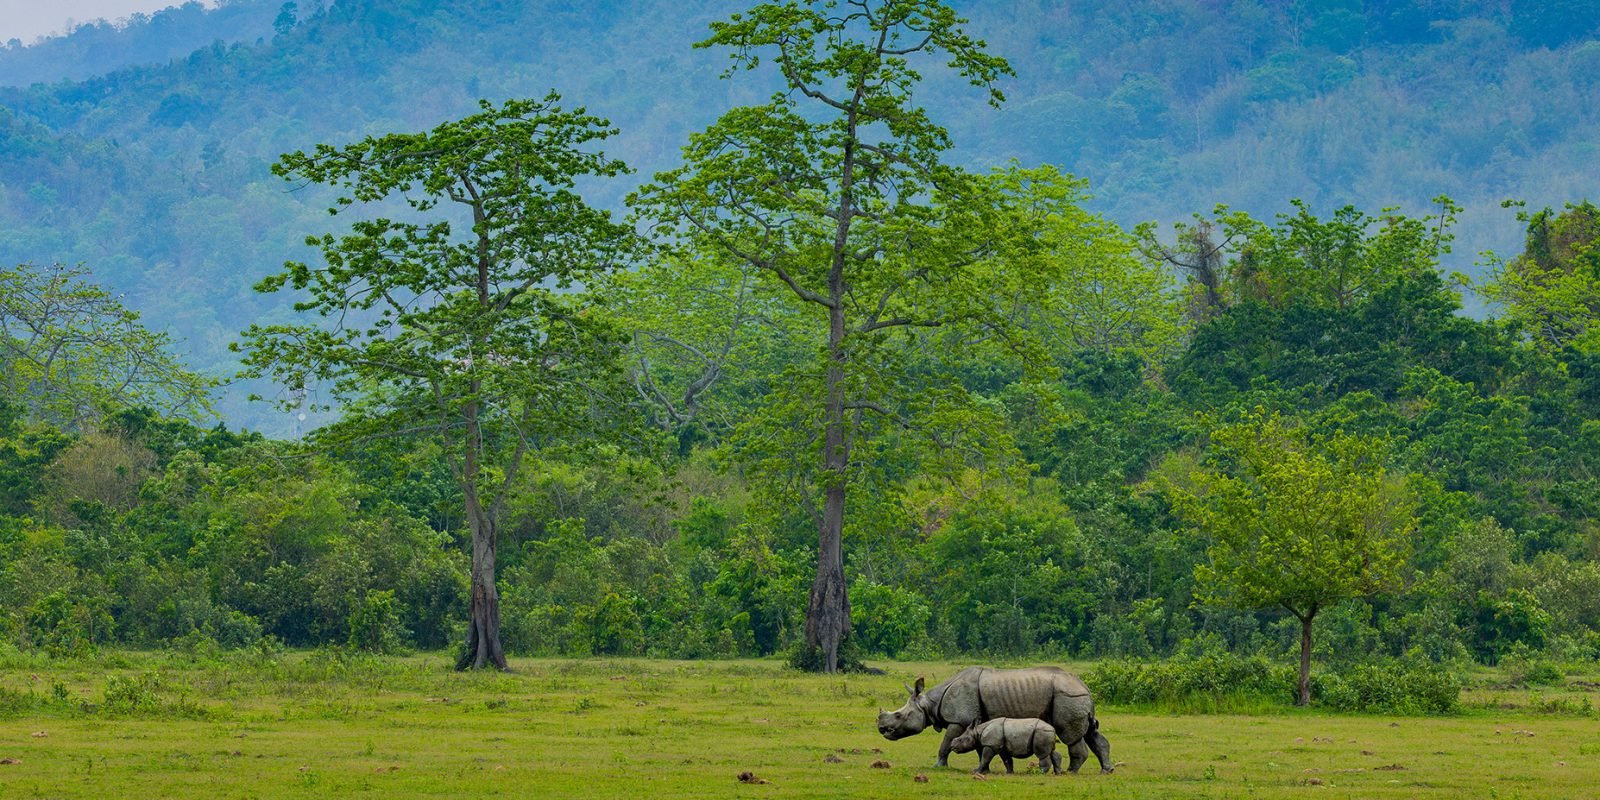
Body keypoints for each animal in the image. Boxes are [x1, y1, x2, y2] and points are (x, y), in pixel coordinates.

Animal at [876, 666, 1112, 773]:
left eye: (899, 716)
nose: (881, 728)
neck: (929, 704)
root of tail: (1084, 686)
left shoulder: (959, 721)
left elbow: (945, 743)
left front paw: (938, 766)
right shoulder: (977, 721)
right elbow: (981, 747)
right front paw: (985, 770)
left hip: (1067, 697)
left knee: (1071, 736)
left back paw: (1071, 772)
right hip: (1076, 698)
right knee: (1091, 733)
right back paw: (1106, 770)